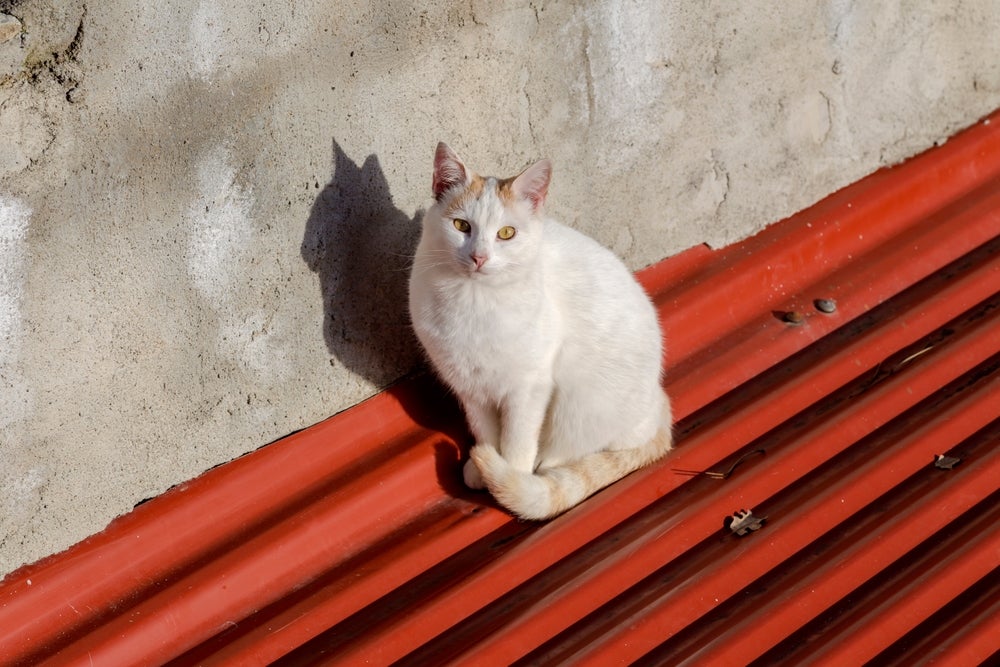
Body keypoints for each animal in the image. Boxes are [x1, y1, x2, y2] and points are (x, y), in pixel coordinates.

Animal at [406, 142, 672, 520]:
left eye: (506, 233)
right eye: (461, 225)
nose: (479, 257)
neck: (474, 299)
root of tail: (659, 404)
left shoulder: (529, 388)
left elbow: (517, 440)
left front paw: (508, 475)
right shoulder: (470, 387)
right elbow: (485, 430)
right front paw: (484, 467)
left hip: (580, 402)